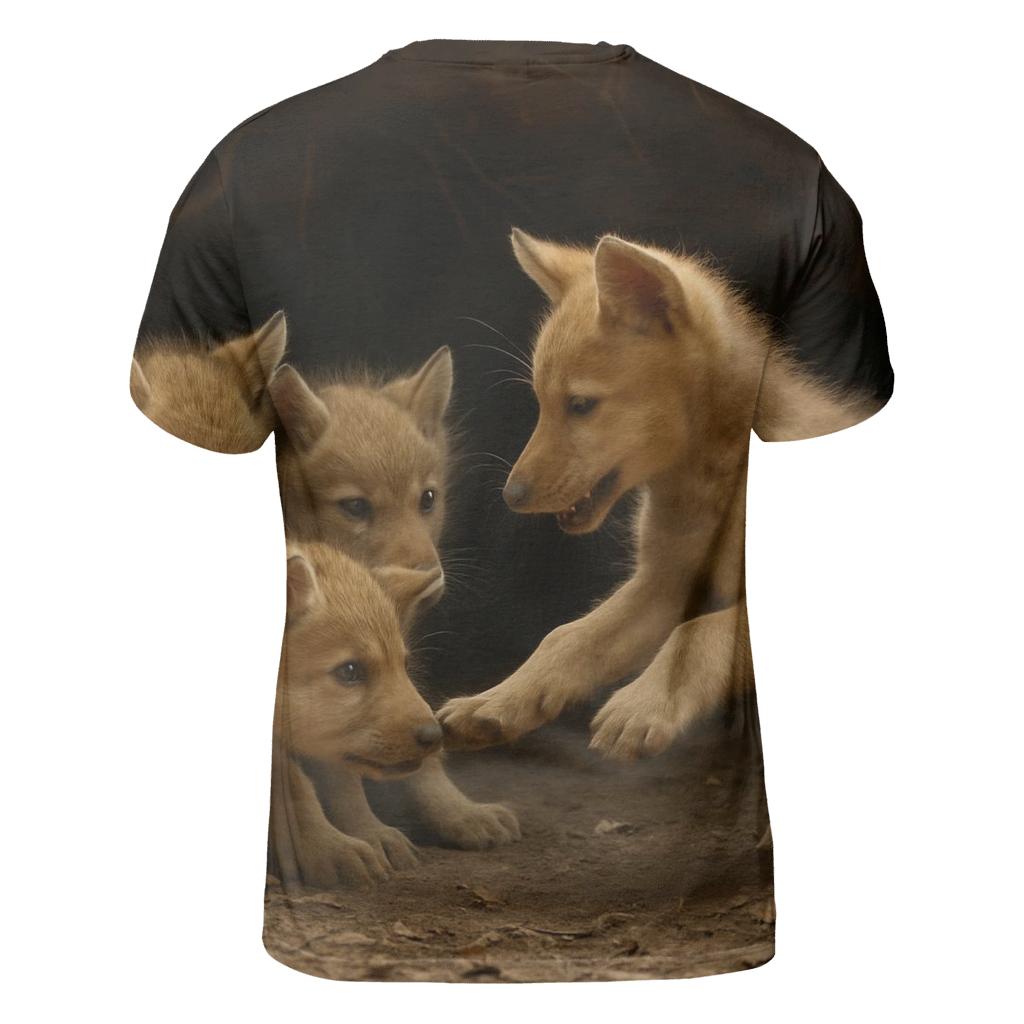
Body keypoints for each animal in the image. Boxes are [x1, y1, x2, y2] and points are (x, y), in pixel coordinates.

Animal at [269, 351, 520, 849]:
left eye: (427, 499)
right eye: (355, 507)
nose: (429, 577)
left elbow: (417, 746)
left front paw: (457, 812)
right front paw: (354, 840)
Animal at [271, 541, 445, 888]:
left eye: (403, 665)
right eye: (350, 671)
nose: (436, 736)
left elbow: (345, 785)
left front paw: (373, 834)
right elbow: (297, 789)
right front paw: (330, 849)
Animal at [439, 229, 879, 760]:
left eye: (581, 405)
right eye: (540, 402)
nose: (511, 496)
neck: (704, 486)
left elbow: (697, 634)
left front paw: (642, 705)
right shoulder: (662, 580)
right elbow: (567, 637)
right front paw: (498, 700)